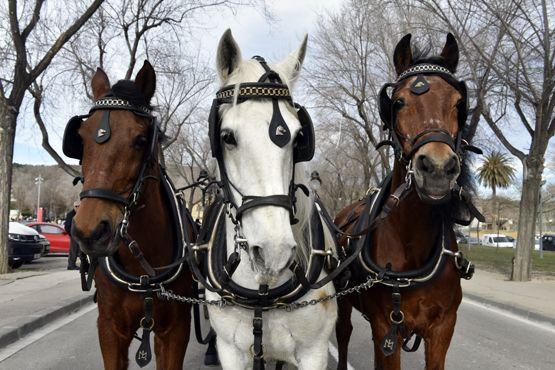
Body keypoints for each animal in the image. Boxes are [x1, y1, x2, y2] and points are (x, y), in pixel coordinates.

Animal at [69, 62, 195, 368]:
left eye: (140, 140)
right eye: (81, 139)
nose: (90, 231)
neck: (142, 270)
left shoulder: (176, 330)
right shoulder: (109, 329)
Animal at [206, 30, 338, 368]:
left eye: (298, 137)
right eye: (227, 137)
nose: (273, 252)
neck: (262, 290)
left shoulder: (314, 351)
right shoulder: (231, 350)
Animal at [334, 33, 482, 368]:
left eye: (458, 104)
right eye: (399, 102)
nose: (438, 168)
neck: (411, 241)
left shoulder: (442, 328)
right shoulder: (387, 328)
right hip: (344, 301)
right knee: (344, 333)